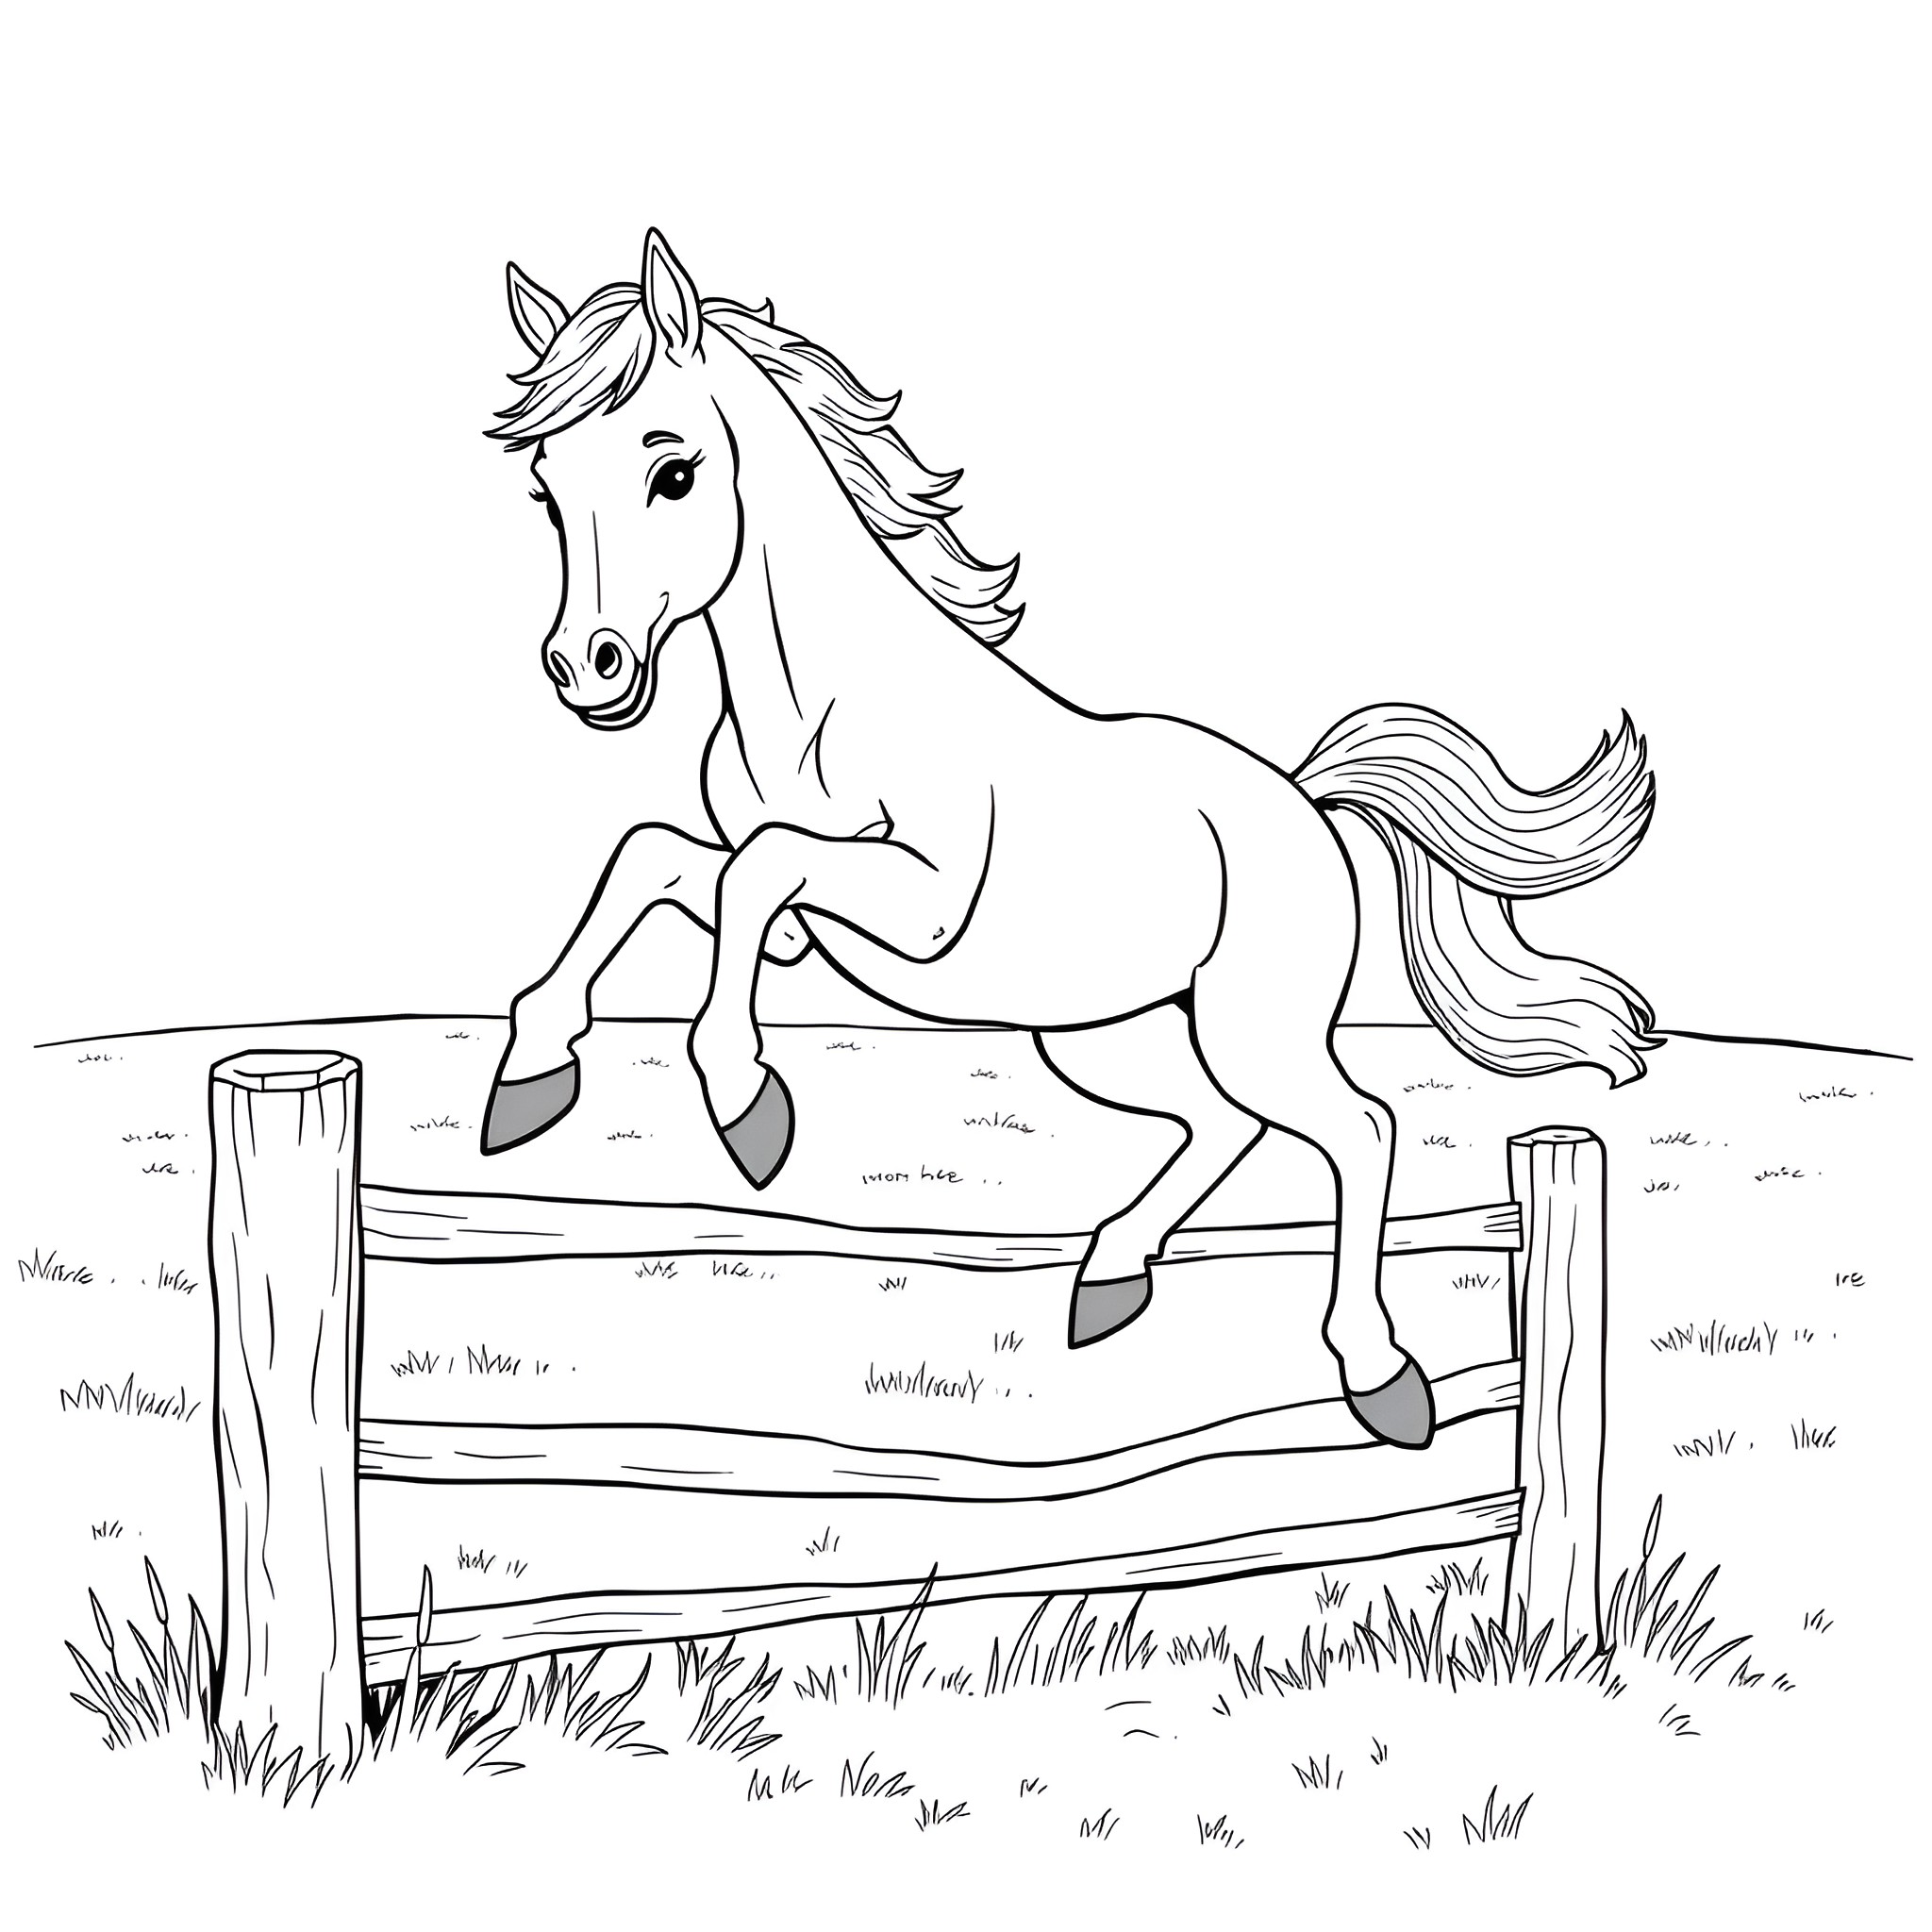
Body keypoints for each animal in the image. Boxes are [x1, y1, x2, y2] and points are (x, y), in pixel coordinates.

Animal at [478, 229, 1659, 1449]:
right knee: (1218, 1126)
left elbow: (754, 874)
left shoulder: (917, 904)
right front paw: (529, 1076)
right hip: (1100, 1037)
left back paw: (1380, 1378)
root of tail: (1304, 805)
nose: (588, 669)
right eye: (546, 490)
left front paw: (745, 1106)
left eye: (673, 472)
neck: (816, 709)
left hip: (1251, 1028)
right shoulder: (795, 918)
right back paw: (1108, 1279)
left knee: (1359, 1127)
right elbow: (656, 859)